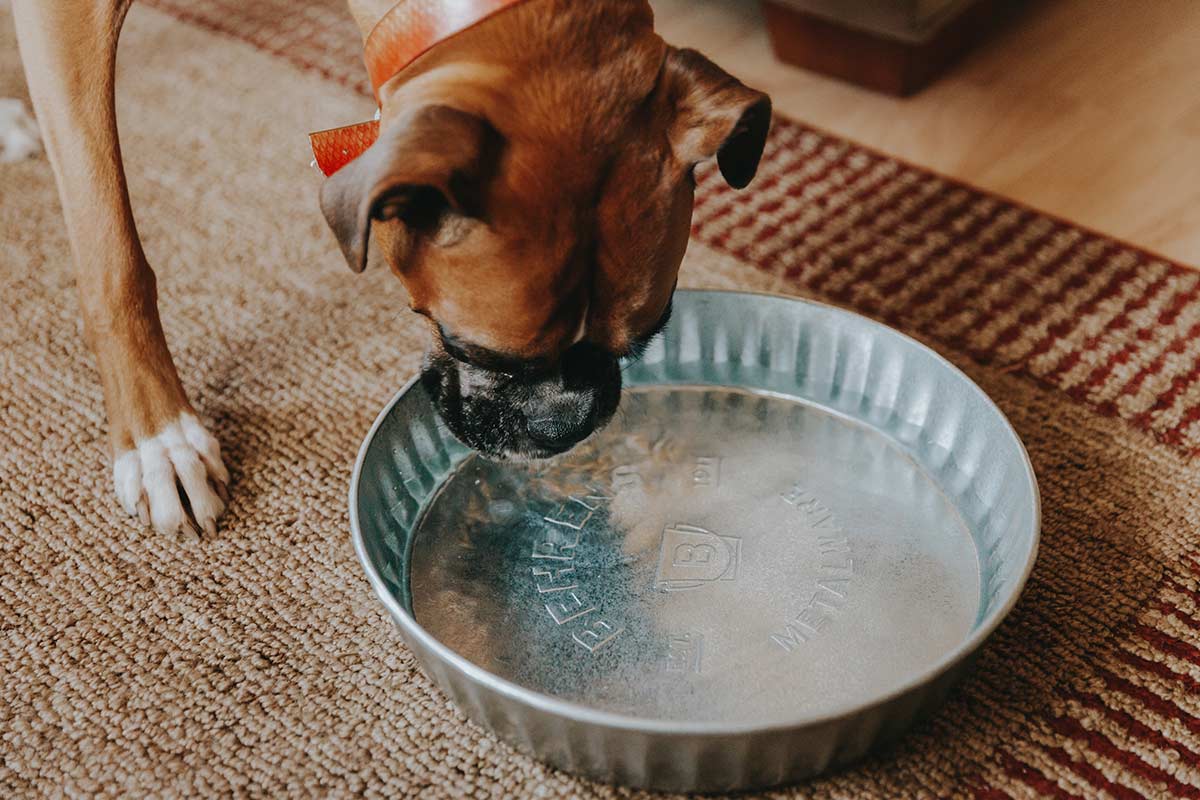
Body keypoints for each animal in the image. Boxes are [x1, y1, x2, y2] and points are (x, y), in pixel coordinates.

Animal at [9, 0, 772, 542]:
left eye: (651, 334)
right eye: (472, 349)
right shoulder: (69, 21)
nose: (567, 425)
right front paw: (159, 437)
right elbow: (112, 250)